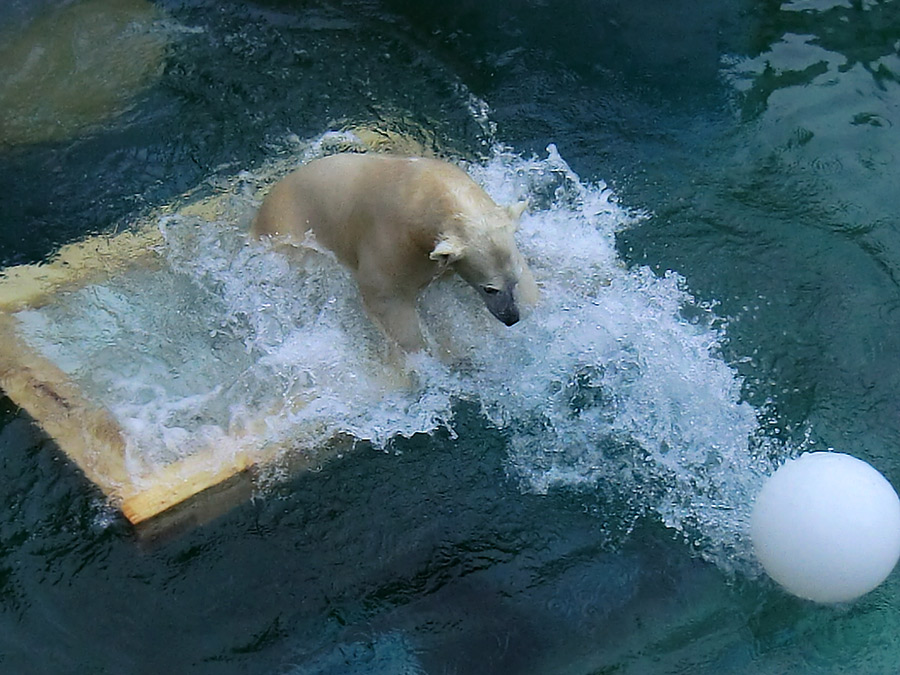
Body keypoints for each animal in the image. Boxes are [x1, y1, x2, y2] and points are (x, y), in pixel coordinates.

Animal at [250, 153, 536, 354]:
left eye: (514, 280)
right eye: (490, 288)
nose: (512, 318)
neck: (423, 189)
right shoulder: (392, 241)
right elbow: (388, 298)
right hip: (289, 232)